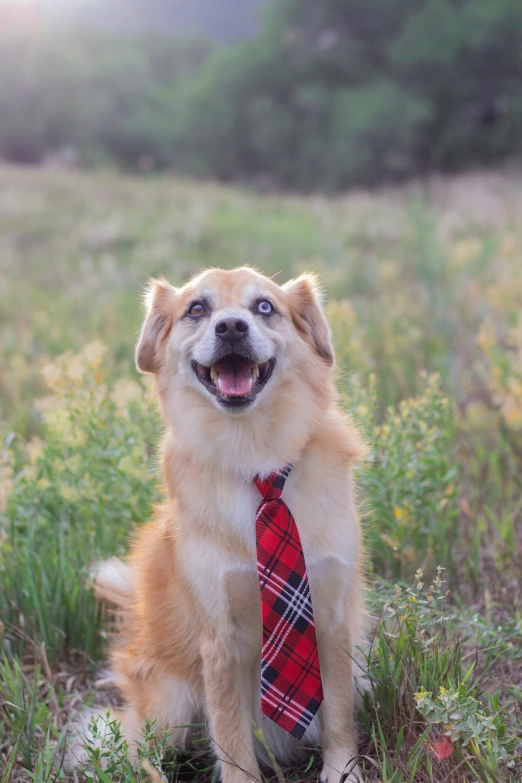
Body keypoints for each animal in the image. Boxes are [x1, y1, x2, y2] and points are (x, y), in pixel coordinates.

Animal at [71, 266, 364, 780]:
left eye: (264, 307)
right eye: (197, 309)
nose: (230, 327)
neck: (256, 456)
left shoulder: (332, 614)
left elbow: (339, 710)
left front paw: (342, 770)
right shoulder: (219, 638)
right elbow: (230, 733)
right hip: (169, 706)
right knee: (134, 745)